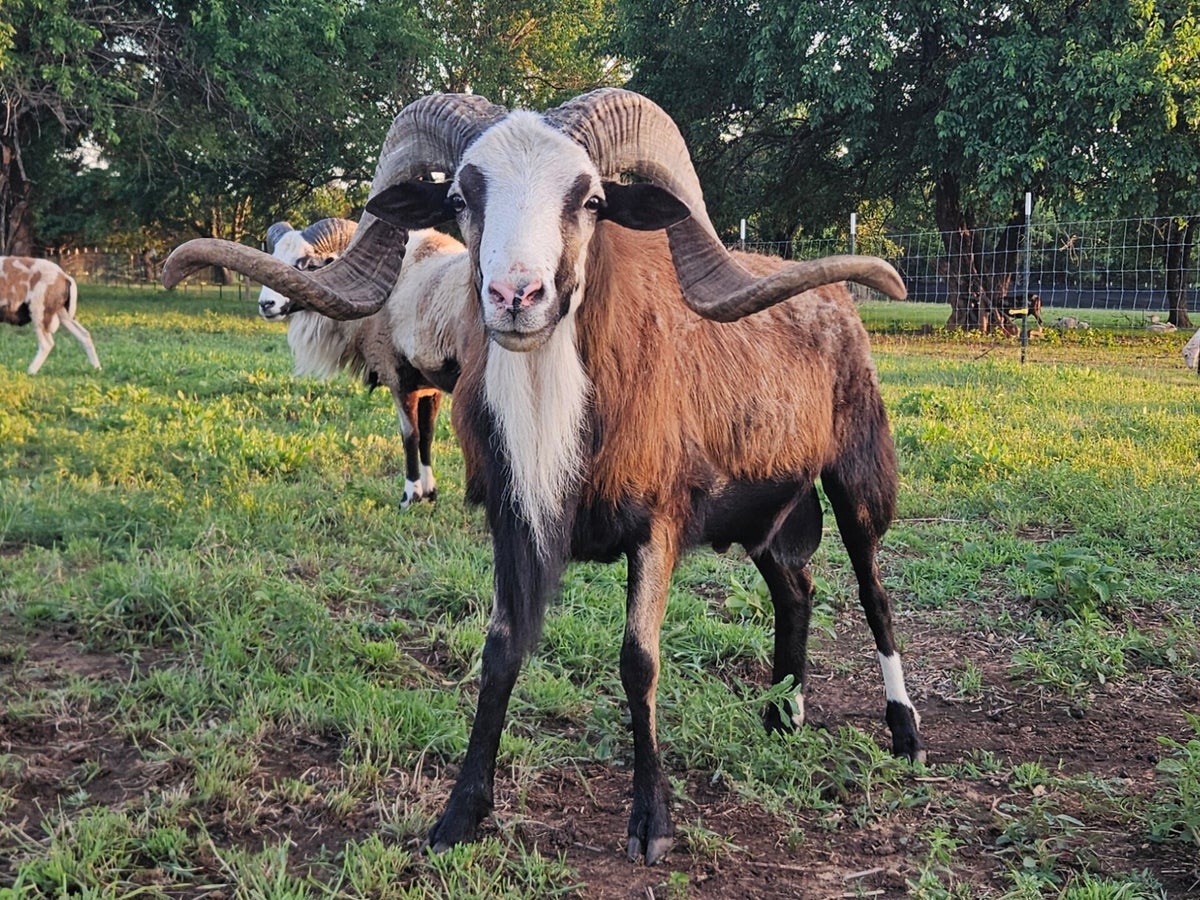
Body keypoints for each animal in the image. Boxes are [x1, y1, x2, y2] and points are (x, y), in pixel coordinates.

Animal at [257, 218, 468, 508]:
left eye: (309, 265)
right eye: (275, 256)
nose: (266, 304)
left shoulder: (398, 376)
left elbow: (410, 436)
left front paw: (409, 497)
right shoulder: (428, 385)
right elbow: (427, 434)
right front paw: (430, 493)